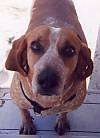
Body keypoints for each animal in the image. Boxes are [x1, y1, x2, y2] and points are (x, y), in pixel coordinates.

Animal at [5, 0, 93, 136]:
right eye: (35, 45)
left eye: (70, 50)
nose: (48, 80)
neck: (46, 101)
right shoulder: (17, 98)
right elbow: (23, 111)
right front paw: (27, 124)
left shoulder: (72, 104)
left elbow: (64, 111)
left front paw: (62, 121)